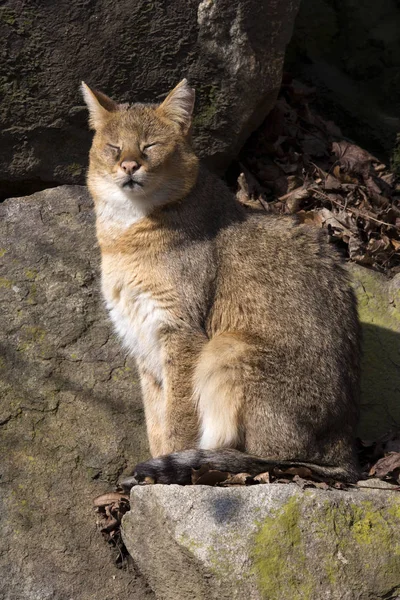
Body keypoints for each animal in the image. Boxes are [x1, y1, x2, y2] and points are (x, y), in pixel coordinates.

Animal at [82, 77, 362, 488]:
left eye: (150, 146)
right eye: (114, 147)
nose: (129, 165)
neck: (125, 232)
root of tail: (347, 449)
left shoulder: (180, 332)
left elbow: (178, 418)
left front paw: (162, 474)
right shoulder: (144, 342)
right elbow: (155, 420)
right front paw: (153, 469)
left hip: (228, 347)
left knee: (271, 459)